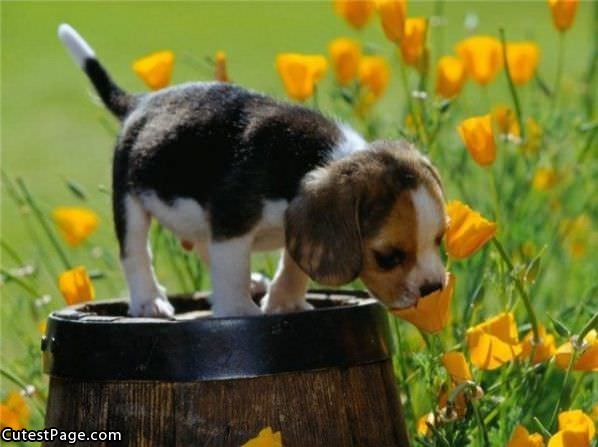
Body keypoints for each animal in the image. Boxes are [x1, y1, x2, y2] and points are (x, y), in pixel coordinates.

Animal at [58, 24, 448, 318]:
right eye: (387, 258)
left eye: (440, 239)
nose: (433, 290)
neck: (320, 158)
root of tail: (140, 103)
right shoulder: (233, 222)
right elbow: (231, 270)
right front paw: (239, 311)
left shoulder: (295, 225)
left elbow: (293, 264)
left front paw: (285, 302)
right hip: (129, 199)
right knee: (136, 252)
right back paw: (149, 301)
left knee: (203, 245)